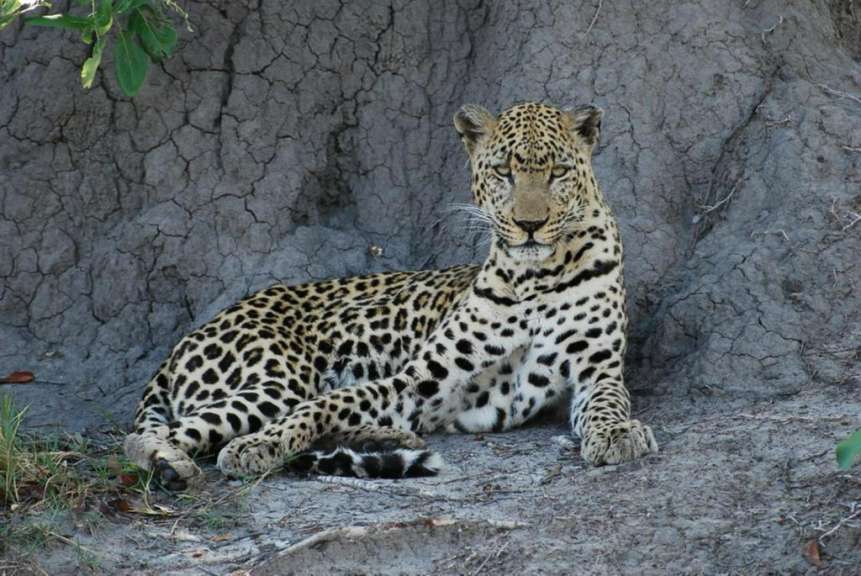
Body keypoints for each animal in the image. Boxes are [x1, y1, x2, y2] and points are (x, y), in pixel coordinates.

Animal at [124, 101, 658, 489]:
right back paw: (172, 464)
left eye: (558, 172)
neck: (536, 276)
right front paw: (260, 446)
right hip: (274, 380)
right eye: (504, 172)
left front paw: (617, 434)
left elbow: (609, 403)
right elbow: (321, 406)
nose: (530, 224)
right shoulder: (418, 379)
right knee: (142, 436)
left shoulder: (597, 370)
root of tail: (186, 340)